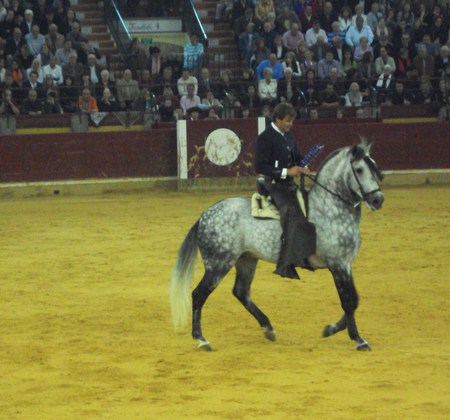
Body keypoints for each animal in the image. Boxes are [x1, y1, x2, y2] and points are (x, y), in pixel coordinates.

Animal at [171, 142, 384, 352]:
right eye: (359, 169)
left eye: (374, 166)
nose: (378, 200)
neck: (329, 209)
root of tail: (203, 216)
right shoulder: (337, 264)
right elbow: (348, 301)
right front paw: (358, 339)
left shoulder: (346, 264)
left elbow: (355, 299)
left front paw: (331, 329)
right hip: (219, 263)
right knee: (198, 294)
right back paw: (202, 339)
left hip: (246, 259)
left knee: (241, 292)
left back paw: (268, 328)